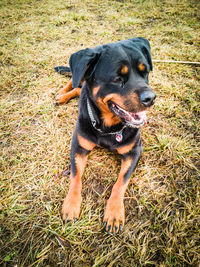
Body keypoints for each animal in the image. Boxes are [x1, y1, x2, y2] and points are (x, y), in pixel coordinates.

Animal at [54, 37, 156, 234]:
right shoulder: (78, 146)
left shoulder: (134, 151)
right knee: (75, 82)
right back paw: (62, 94)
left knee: (79, 88)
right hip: (81, 74)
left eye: (145, 72)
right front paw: (71, 205)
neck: (108, 128)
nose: (151, 98)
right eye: (117, 79)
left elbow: (120, 182)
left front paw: (114, 212)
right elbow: (75, 177)